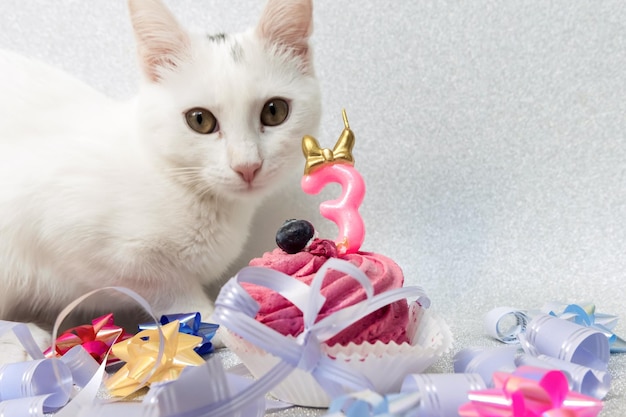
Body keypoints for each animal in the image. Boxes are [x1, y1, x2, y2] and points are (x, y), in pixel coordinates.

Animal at [0, 0, 320, 360]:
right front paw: (210, 320)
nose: (247, 165)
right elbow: (164, 285)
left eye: (275, 111)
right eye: (199, 119)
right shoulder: (59, 226)